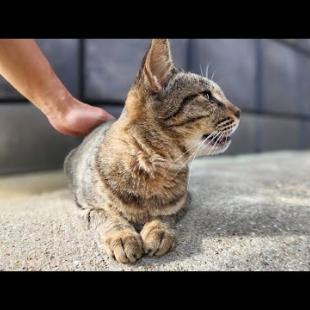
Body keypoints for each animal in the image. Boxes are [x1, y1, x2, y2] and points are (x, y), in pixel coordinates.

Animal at [64, 37, 241, 262]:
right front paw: (122, 236)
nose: (240, 111)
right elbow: (106, 215)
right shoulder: (84, 207)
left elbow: (165, 215)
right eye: (207, 96)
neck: (151, 166)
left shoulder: (184, 201)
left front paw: (159, 230)